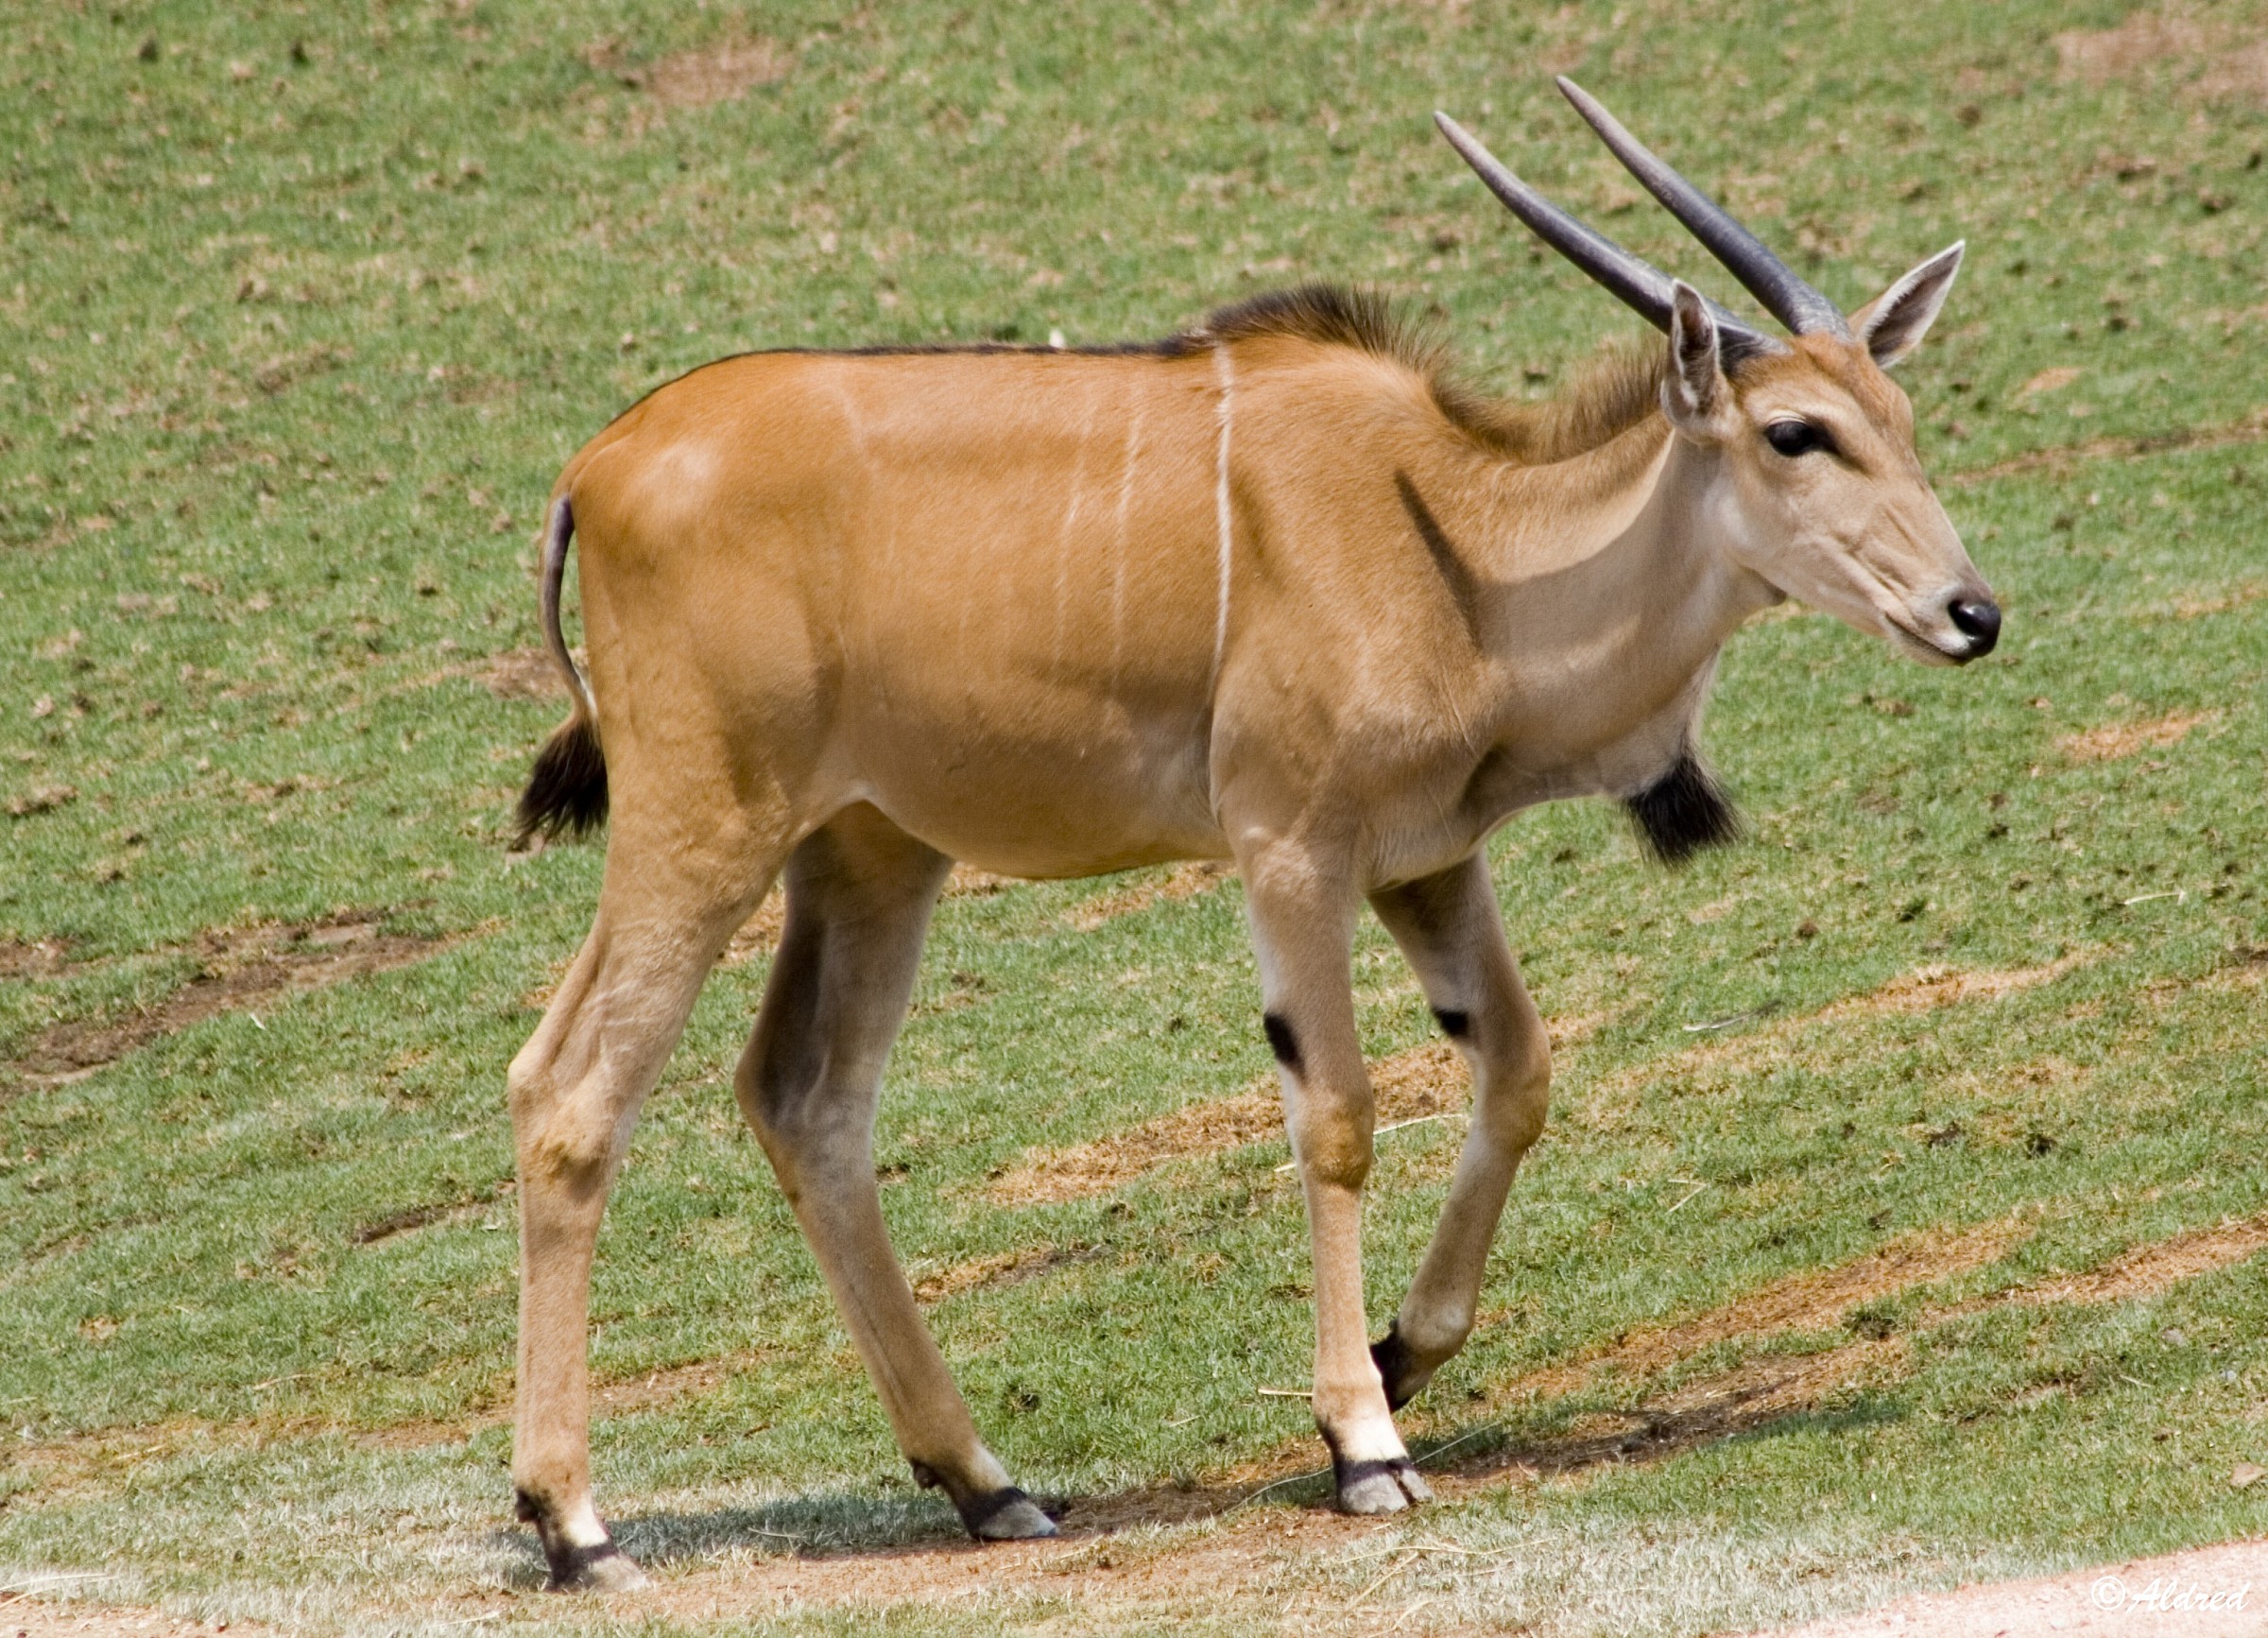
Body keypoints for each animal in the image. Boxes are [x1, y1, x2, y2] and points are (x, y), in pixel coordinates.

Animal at [504, 78, 1997, 1588]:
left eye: (1898, 410)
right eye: (1796, 432)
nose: (1970, 612)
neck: (1458, 551)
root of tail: (598, 463)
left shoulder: (1427, 862)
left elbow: (1517, 1071)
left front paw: (1403, 1353)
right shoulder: (1289, 850)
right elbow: (1335, 1116)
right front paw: (1363, 1442)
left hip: (869, 852)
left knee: (806, 1101)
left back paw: (985, 1479)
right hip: (703, 828)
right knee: (570, 1093)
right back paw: (575, 1522)